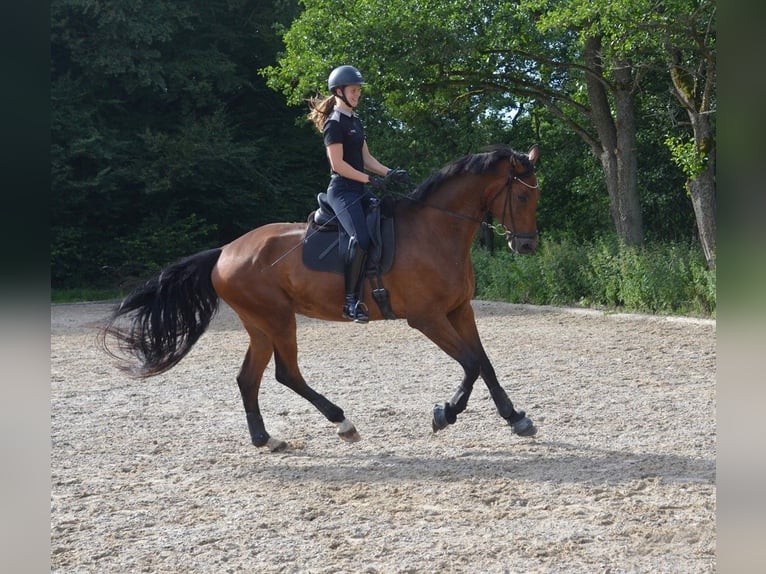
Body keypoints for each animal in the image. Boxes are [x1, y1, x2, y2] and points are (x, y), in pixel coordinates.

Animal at [102, 145, 544, 454]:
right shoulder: (428, 317)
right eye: (523, 198)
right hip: (278, 319)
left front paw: (516, 418)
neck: (436, 229)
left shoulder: (459, 309)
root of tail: (225, 251)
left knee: (249, 378)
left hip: (260, 325)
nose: (526, 246)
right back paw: (342, 423)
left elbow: (484, 362)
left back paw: (266, 439)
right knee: (286, 374)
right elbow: (470, 364)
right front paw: (444, 414)